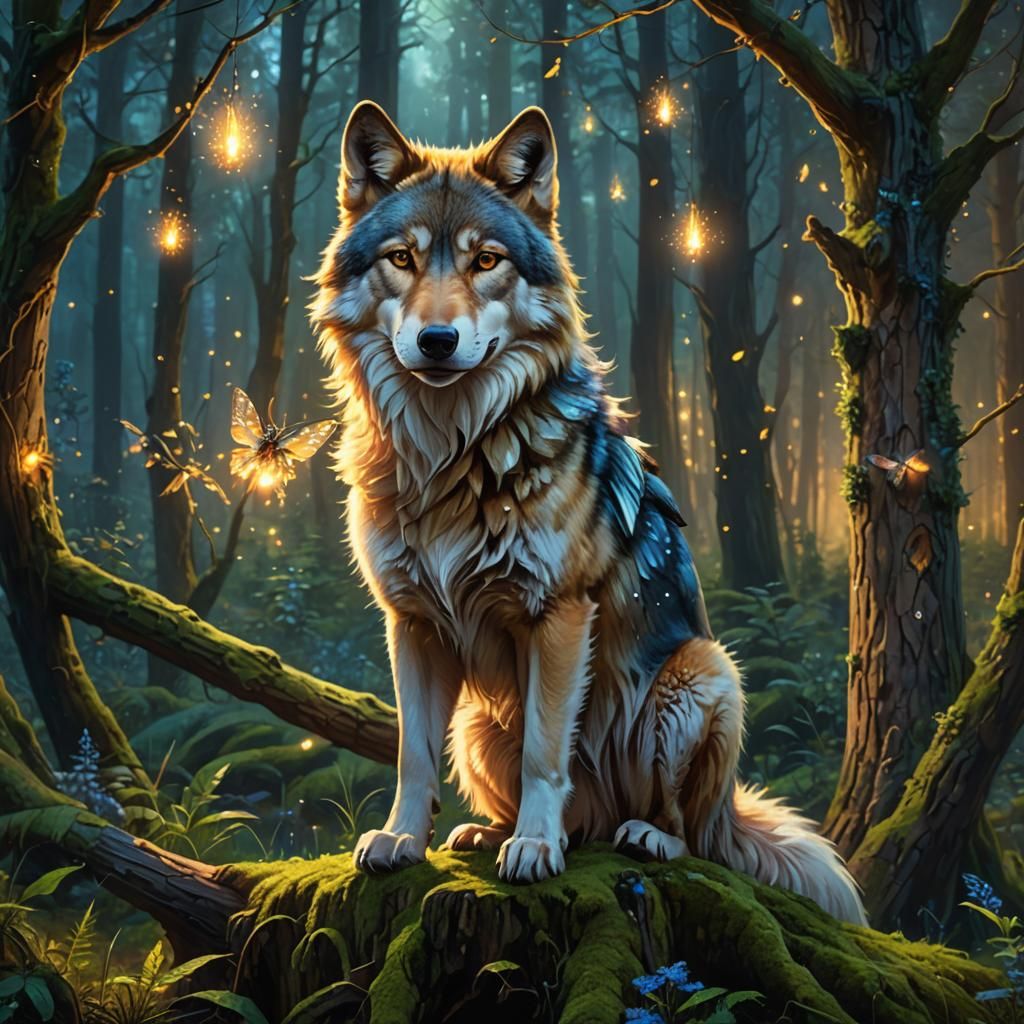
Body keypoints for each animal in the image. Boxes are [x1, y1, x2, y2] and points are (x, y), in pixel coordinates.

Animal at [312, 101, 866, 924]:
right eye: (402, 259)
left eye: (486, 261)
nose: (437, 340)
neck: (452, 454)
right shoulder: (409, 622)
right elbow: (413, 753)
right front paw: (401, 840)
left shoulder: (561, 613)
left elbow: (547, 751)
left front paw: (535, 852)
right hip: (476, 723)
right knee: (565, 808)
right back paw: (491, 832)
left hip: (701, 677)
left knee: (686, 831)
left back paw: (637, 836)